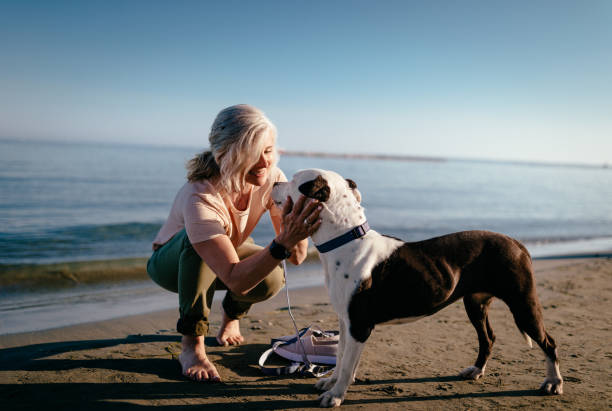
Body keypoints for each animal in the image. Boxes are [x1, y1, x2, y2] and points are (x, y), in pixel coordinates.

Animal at [272, 168, 564, 408]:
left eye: (295, 181)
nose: (274, 182)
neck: (345, 239)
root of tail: (516, 242)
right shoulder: (346, 322)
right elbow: (343, 357)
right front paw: (332, 383)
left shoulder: (359, 325)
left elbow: (346, 364)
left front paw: (335, 395)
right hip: (475, 304)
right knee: (487, 338)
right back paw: (476, 370)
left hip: (522, 303)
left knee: (548, 342)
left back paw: (553, 383)